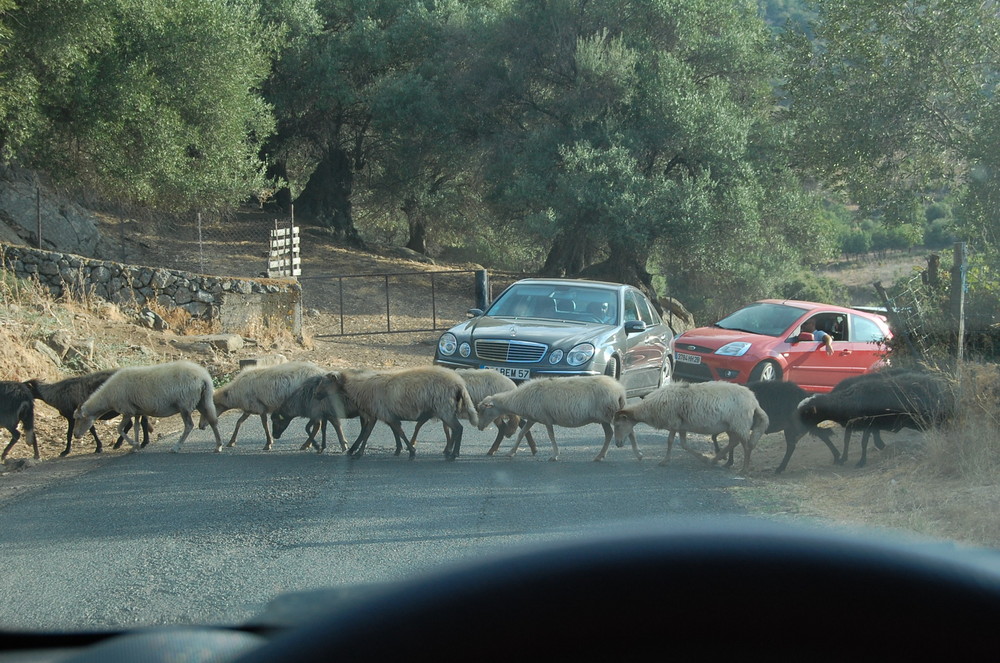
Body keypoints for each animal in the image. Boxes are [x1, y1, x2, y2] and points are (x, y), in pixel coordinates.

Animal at [73, 360, 222, 454]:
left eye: (79, 418)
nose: (75, 435)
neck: (107, 397)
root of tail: (204, 378)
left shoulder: (127, 410)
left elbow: (119, 428)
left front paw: (134, 445)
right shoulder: (137, 411)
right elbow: (136, 427)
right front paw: (135, 446)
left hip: (185, 404)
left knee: (189, 425)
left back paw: (176, 447)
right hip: (203, 400)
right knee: (213, 421)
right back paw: (218, 446)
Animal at [330, 368, 478, 462]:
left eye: (327, 381)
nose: (321, 395)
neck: (361, 387)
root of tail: (459, 384)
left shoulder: (379, 413)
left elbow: (370, 434)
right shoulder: (386, 415)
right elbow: (395, 432)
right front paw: (401, 449)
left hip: (445, 409)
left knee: (458, 428)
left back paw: (453, 454)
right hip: (445, 411)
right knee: (456, 429)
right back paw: (452, 452)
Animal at [408, 368, 536, 456]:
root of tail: (511, 383)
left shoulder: (435, 410)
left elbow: (419, 425)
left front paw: (412, 443)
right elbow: (446, 428)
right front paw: (448, 447)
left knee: (509, 425)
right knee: (515, 424)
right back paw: (531, 449)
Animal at [474, 376, 632, 464]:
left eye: (483, 410)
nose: (479, 427)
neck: (519, 399)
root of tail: (620, 391)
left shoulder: (546, 418)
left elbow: (551, 436)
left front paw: (555, 455)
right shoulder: (532, 418)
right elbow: (521, 433)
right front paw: (511, 452)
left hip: (608, 414)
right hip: (605, 417)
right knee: (609, 434)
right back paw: (600, 456)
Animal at [608, 378, 764, 472]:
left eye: (618, 425)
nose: (618, 444)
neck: (649, 408)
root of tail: (754, 401)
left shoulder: (673, 422)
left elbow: (670, 441)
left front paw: (665, 461)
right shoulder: (681, 425)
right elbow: (683, 444)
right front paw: (702, 457)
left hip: (739, 424)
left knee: (747, 445)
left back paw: (744, 469)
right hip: (731, 426)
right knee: (734, 442)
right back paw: (715, 460)